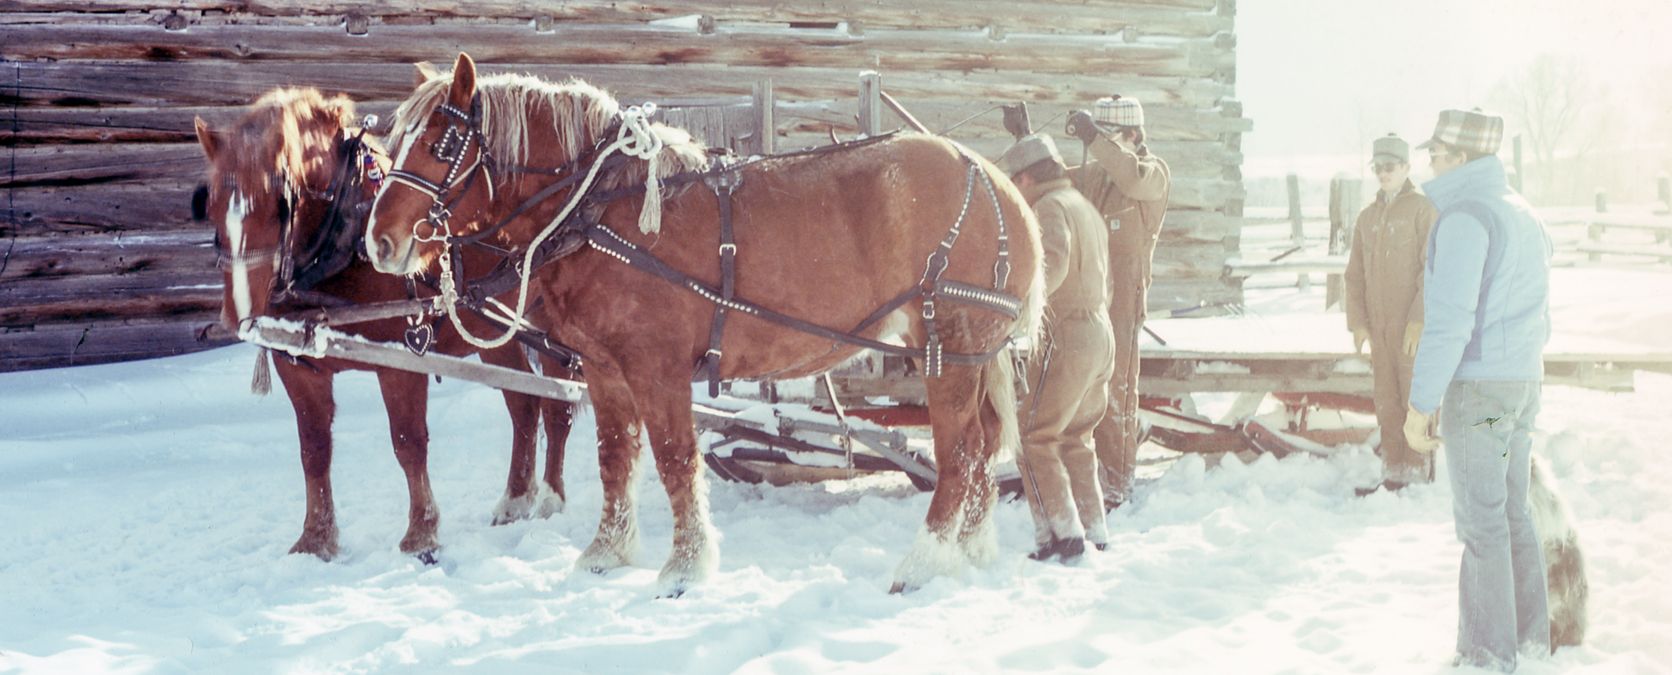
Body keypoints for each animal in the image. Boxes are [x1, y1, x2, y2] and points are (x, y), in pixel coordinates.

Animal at [191, 86, 575, 561]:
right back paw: (515, 500)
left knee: (558, 410)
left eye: (280, 204)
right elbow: (314, 449)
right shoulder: (298, 368)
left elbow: (408, 443)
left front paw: (421, 534)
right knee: (524, 405)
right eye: (208, 205)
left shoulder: (402, 360)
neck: (342, 243)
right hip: (491, 335)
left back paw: (550, 500)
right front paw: (316, 539)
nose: (238, 313)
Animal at [367, 55, 1043, 594]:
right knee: (984, 447)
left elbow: (673, 459)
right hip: (971, 355)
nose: (381, 242)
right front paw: (606, 554)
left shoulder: (656, 367)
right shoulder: (605, 369)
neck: (602, 209)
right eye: (390, 144)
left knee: (959, 454)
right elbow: (616, 457)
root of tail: (992, 180)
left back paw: (924, 562)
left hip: (946, 346)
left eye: (441, 145)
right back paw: (970, 550)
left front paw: (685, 569)